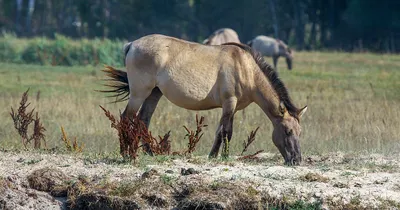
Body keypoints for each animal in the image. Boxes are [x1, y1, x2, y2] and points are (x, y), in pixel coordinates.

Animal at [102, 34, 306, 165]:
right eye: (287, 131)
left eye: (299, 132)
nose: (296, 160)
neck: (246, 68)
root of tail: (131, 44)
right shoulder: (229, 103)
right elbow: (225, 132)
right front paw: (219, 156)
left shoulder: (232, 108)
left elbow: (223, 132)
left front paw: (217, 156)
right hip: (139, 94)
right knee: (126, 118)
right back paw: (126, 155)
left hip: (154, 93)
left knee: (143, 120)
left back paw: (150, 154)